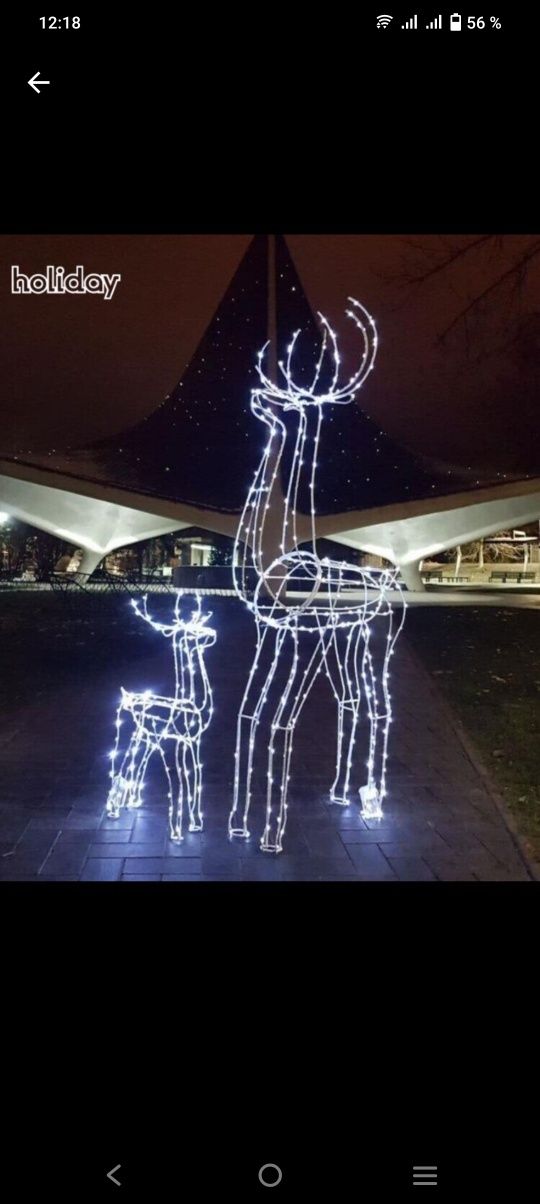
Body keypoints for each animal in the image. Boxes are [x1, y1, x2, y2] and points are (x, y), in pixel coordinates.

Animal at [106, 589, 215, 837]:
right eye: (192, 631)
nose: (212, 633)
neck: (191, 704)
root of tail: (125, 695)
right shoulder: (174, 743)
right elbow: (178, 784)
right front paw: (176, 833)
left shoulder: (193, 742)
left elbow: (194, 779)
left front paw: (196, 824)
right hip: (127, 734)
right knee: (118, 766)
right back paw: (113, 811)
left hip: (144, 739)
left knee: (134, 767)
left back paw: (132, 802)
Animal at [227, 296, 404, 852]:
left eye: (291, 403)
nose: (256, 397)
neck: (272, 562)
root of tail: (395, 586)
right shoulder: (270, 635)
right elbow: (247, 715)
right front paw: (236, 826)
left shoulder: (300, 638)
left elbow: (280, 723)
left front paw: (269, 839)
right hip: (345, 642)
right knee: (352, 700)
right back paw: (343, 793)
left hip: (376, 640)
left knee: (380, 706)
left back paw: (375, 802)